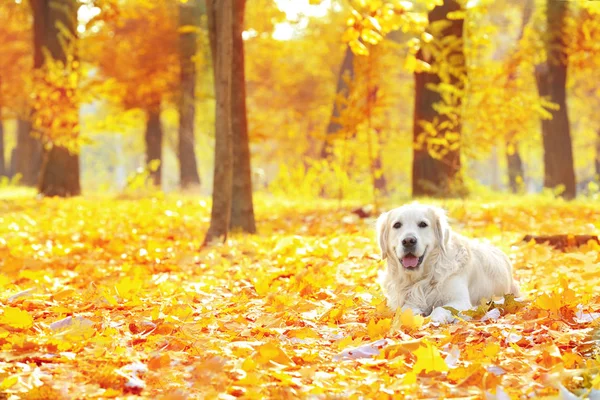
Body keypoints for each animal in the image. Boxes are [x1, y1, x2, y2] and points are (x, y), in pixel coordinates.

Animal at [376, 203, 520, 324]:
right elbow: (406, 309)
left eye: (423, 224)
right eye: (397, 225)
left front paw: (433, 319)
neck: (423, 277)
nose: (408, 241)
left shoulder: (460, 300)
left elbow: (441, 308)